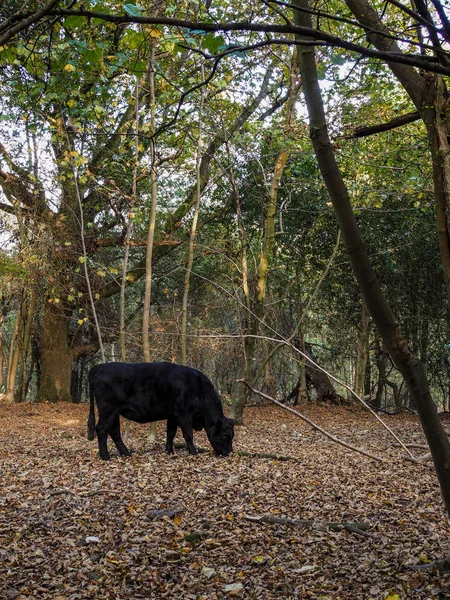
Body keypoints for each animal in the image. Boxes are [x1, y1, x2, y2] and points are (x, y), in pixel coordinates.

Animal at [88, 360, 236, 460]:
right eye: (224, 436)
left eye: (232, 435)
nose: (229, 452)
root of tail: (100, 366)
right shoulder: (184, 414)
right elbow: (188, 434)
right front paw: (193, 452)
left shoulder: (172, 416)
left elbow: (171, 433)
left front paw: (169, 451)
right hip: (107, 410)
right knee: (102, 429)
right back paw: (105, 456)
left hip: (115, 413)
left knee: (114, 432)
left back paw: (126, 453)